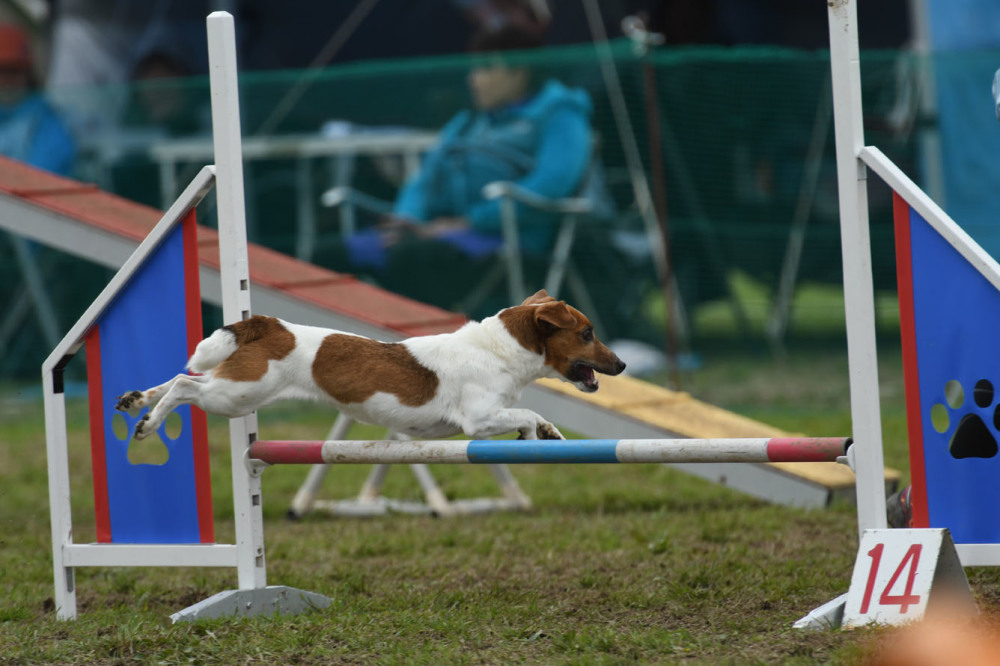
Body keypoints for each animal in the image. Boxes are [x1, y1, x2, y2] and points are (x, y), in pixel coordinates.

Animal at [117, 288, 624, 438]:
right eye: (587, 333)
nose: (620, 366)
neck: (496, 349)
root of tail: (269, 325)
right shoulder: (478, 420)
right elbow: (527, 411)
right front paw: (541, 428)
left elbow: (527, 416)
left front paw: (545, 434)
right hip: (238, 396)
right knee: (185, 386)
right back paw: (149, 422)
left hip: (232, 384)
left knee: (181, 376)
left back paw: (136, 399)